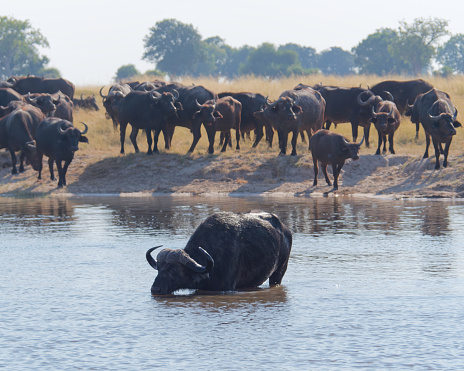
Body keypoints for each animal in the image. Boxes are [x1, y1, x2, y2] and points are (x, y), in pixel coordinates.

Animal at [145, 212, 292, 296]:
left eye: (174, 270)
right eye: (159, 269)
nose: (155, 289)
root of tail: (285, 230)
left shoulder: (226, 288)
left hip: (279, 272)